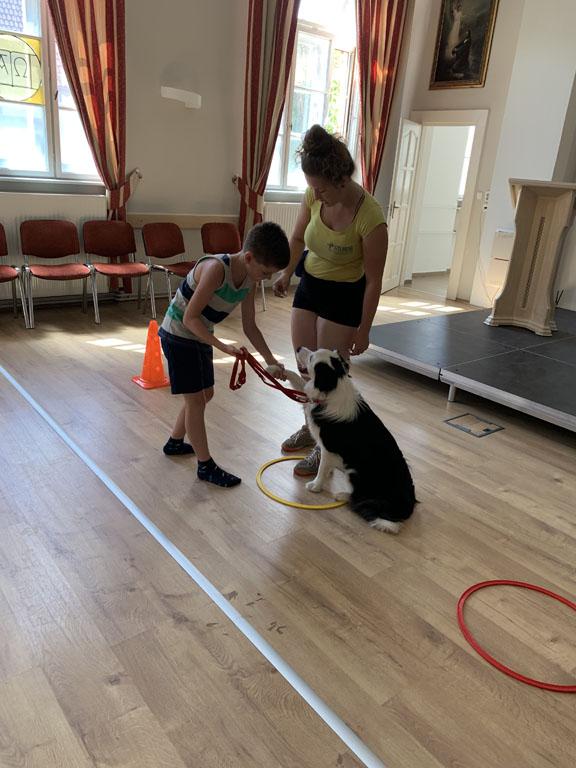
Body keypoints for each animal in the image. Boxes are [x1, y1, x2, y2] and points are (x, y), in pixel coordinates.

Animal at [282, 348, 416, 534]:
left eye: (311, 357)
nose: (299, 348)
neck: (334, 386)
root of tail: (403, 507)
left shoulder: (327, 448)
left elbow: (322, 468)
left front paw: (315, 486)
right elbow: (300, 383)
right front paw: (279, 369)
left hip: (354, 471)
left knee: (358, 498)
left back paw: (342, 495)